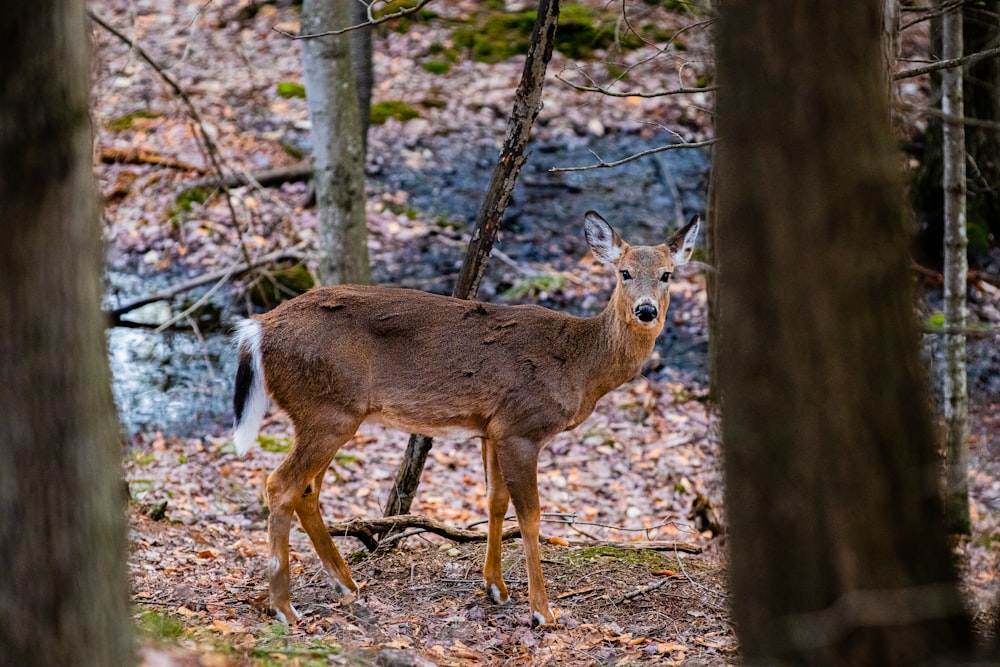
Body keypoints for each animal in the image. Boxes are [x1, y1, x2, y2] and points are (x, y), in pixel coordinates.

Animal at [230, 211, 700, 628]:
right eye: (624, 272)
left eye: (667, 274)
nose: (645, 311)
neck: (580, 365)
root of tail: (258, 327)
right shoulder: (522, 426)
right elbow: (530, 517)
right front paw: (542, 612)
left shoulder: (491, 428)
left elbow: (495, 502)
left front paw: (496, 588)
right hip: (328, 410)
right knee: (281, 484)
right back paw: (285, 608)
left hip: (327, 413)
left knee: (307, 490)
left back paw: (346, 584)